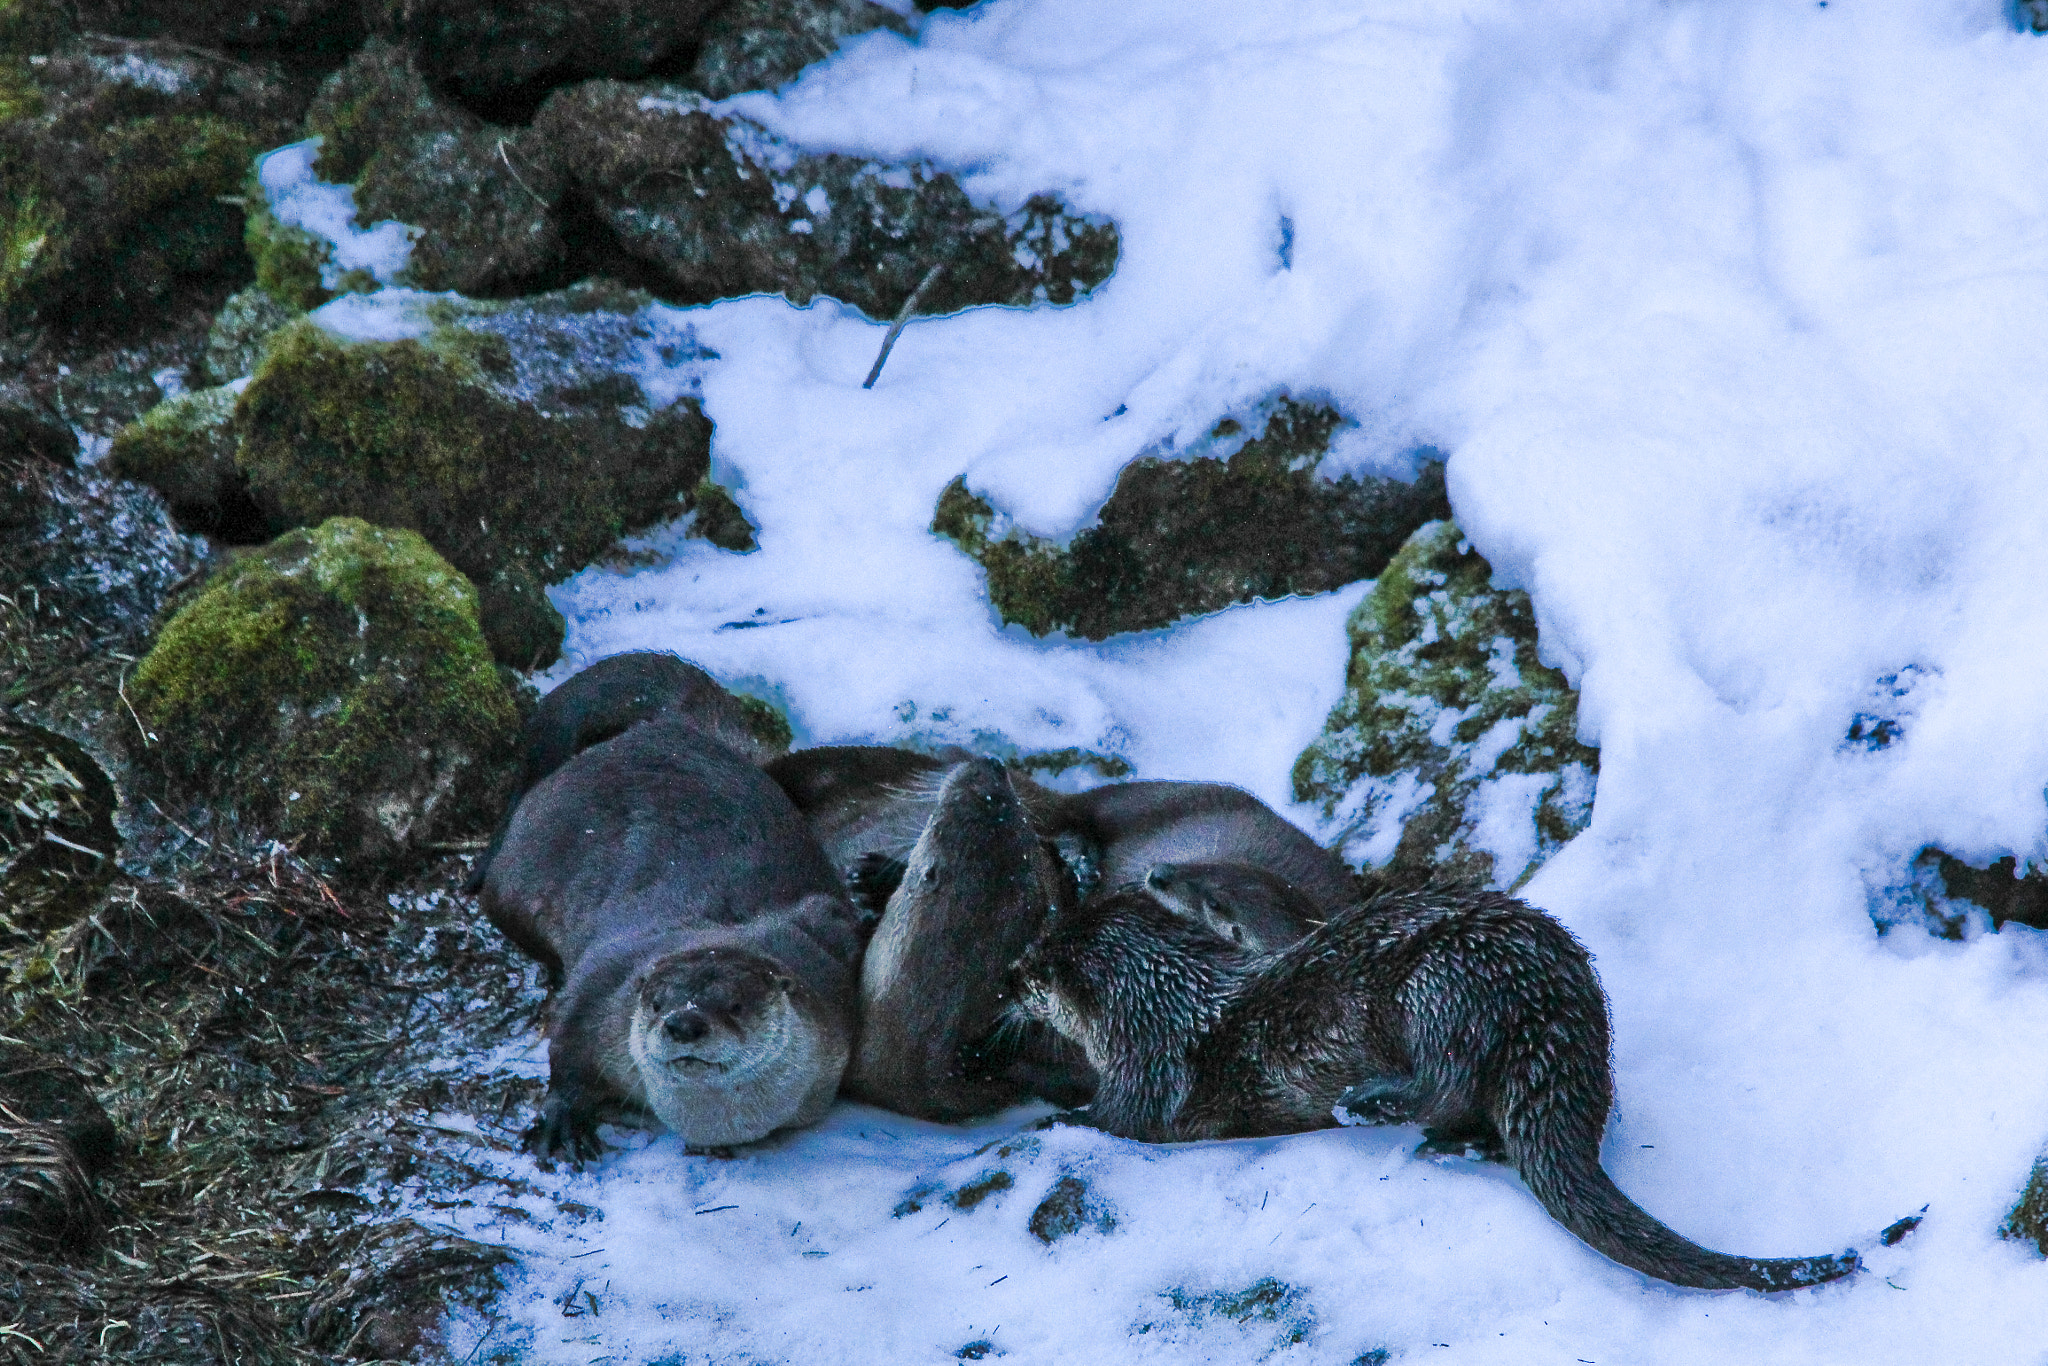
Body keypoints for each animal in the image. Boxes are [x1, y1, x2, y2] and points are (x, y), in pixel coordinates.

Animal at [478, 716, 862, 1161]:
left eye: (735, 1005)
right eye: (657, 1003)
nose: (684, 1023)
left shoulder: (828, 949)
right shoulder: (606, 982)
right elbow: (567, 1047)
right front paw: (562, 1121)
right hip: (511, 888)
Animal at [1008, 883, 1861, 1292]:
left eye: (1038, 964)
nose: (1010, 974)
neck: (1168, 1008)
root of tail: (1564, 1009)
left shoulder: (1143, 1081)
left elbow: (1110, 1121)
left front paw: (1046, 1122)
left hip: (1440, 986)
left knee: (1445, 1080)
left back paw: (1373, 1107)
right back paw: (1458, 1147)